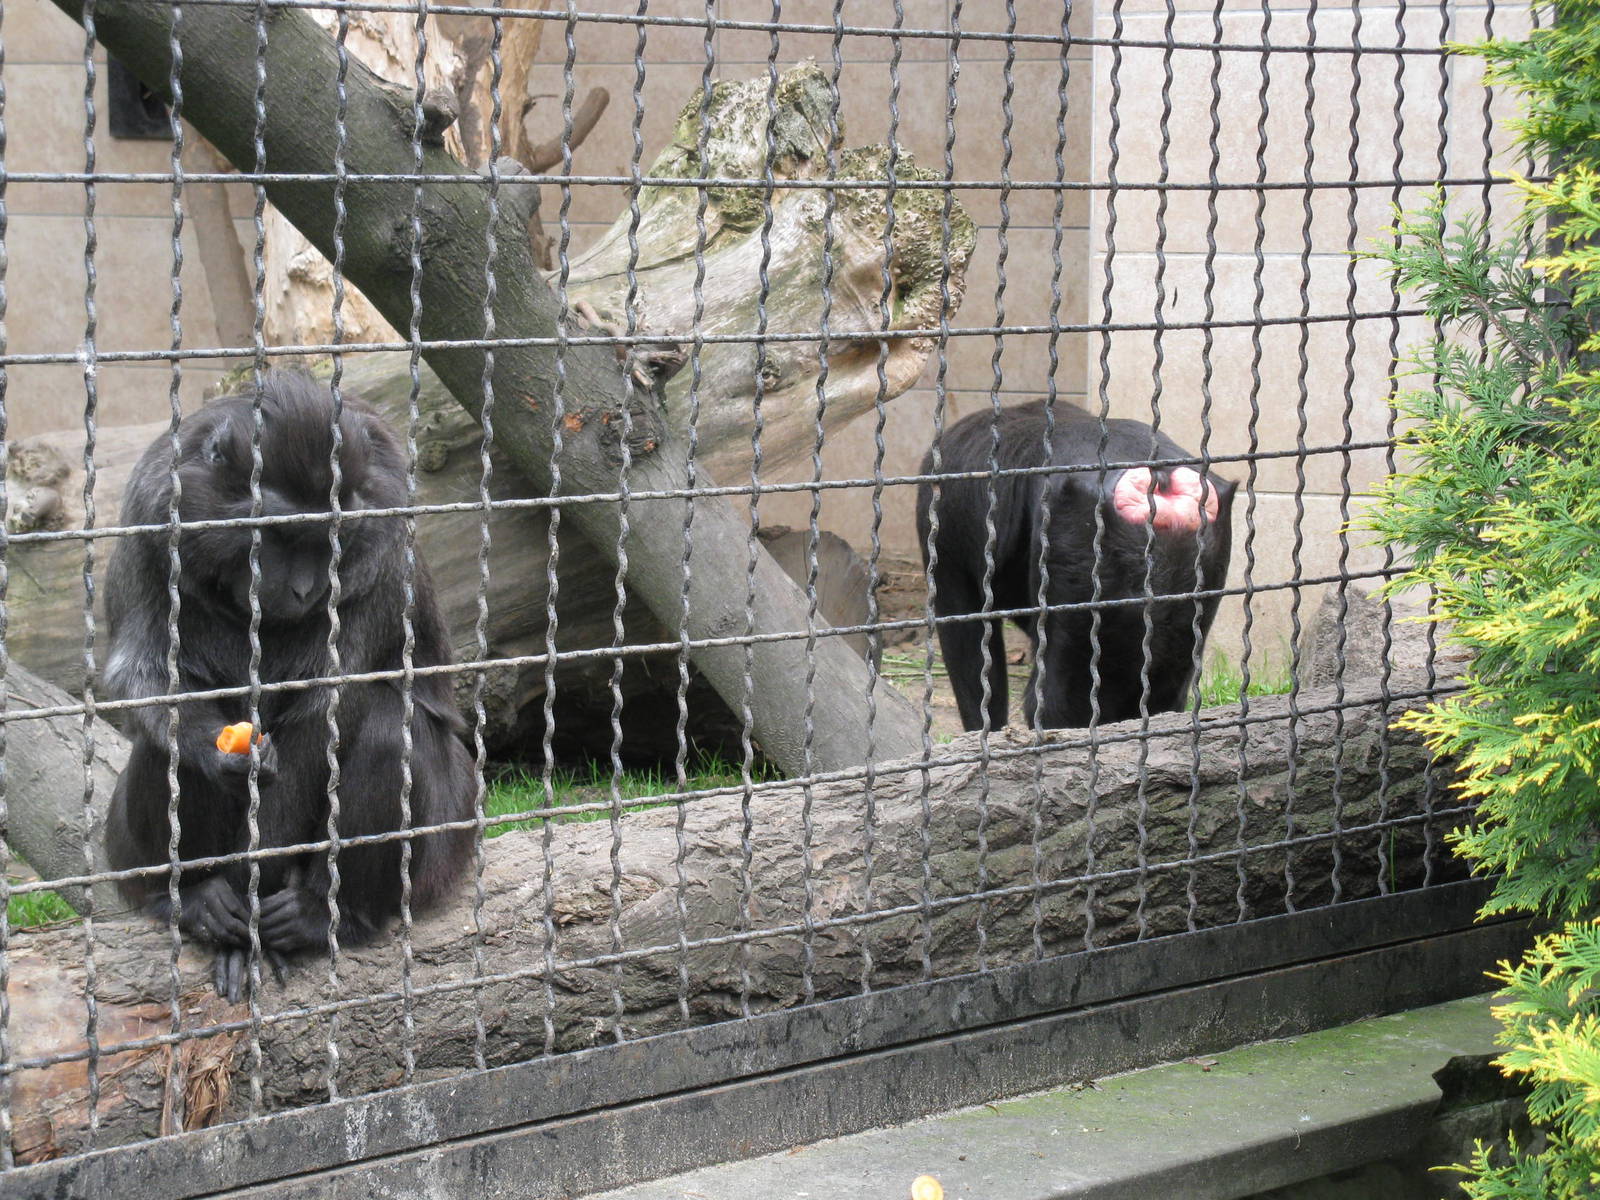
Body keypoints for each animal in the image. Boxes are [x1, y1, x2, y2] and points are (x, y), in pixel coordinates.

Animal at [103, 372, 475, 1002]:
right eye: (280, 538)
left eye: (328, 540)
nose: (304, 590)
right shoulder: (151, 516)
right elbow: (147, 679)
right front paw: (218, 754)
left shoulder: (381, 554)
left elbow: (319, 724)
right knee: (163, 747)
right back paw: (195, 896)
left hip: (447, 845)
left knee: (387, 727)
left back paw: (330, 914)